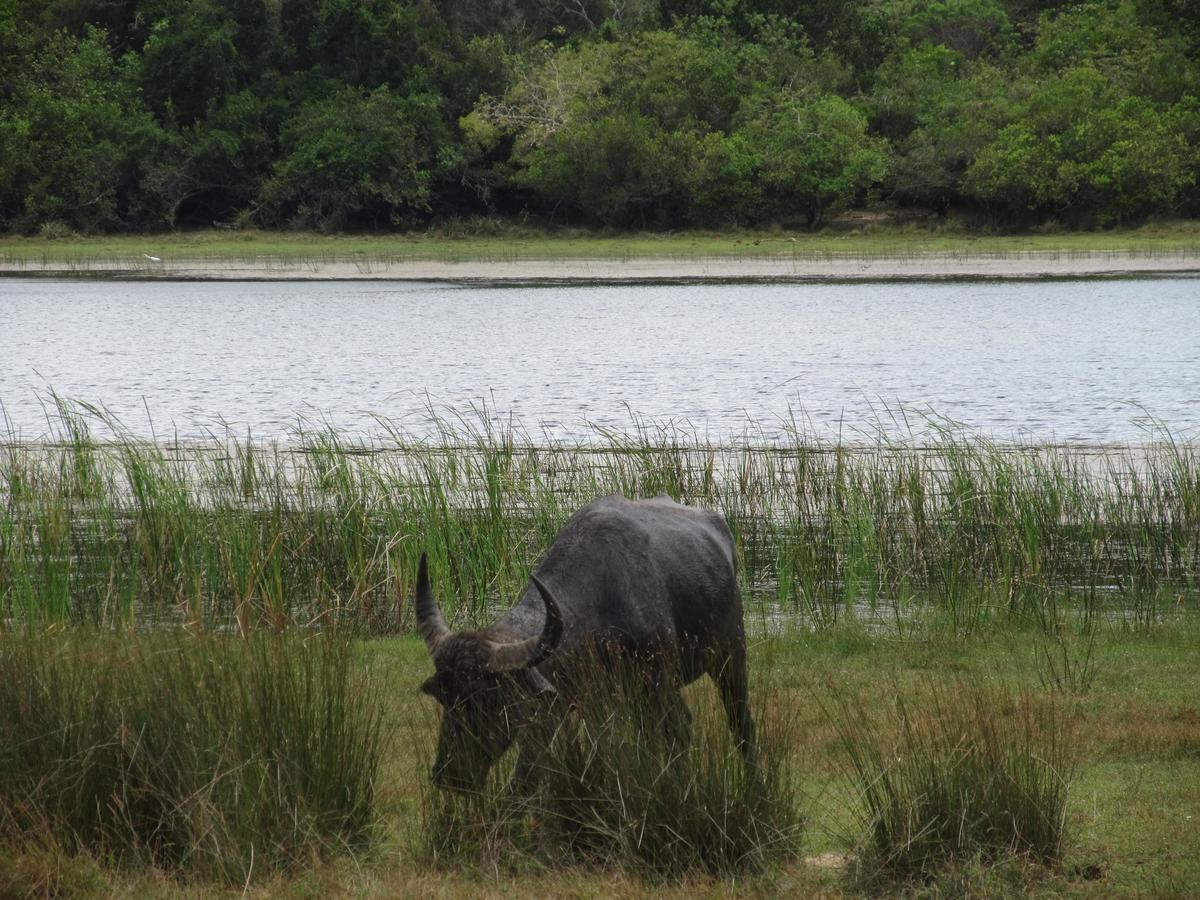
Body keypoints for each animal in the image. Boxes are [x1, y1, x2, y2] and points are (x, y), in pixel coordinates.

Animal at [412, 494, 748, 796]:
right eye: (442, 696)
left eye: (487, 698)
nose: (448, 776)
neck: (601, 602)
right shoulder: (568, 706)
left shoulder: (659, 684)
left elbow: (675, 736)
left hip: (730, 654)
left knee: (738, 725)